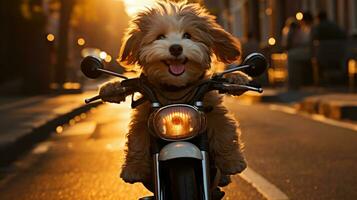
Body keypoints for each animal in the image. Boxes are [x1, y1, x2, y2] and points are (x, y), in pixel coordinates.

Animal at [98, 0, 249, 186]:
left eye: (188, 35)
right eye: (160, 37)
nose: (176, 48)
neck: (175, 92)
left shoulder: (212, 108)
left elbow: (224, 131)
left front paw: (232, 162)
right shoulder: (144, 115)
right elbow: (137, 139)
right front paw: (133, 169)